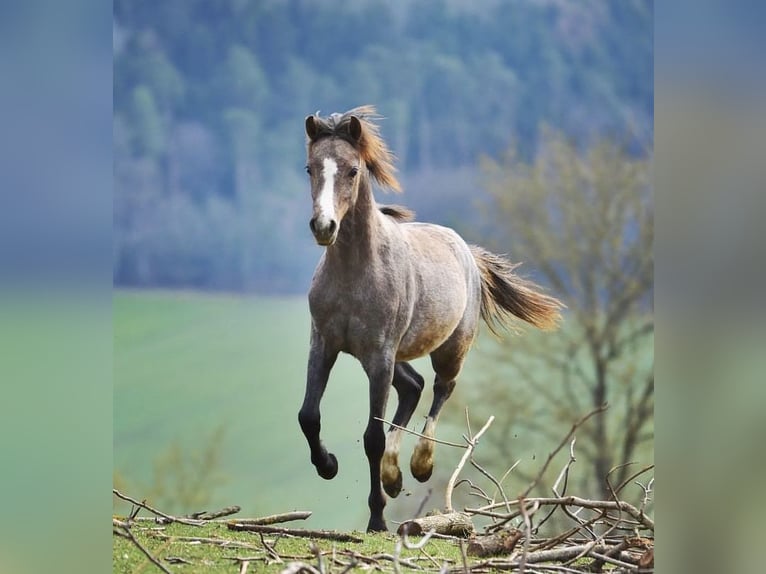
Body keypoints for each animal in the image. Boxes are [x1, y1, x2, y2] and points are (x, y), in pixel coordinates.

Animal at [298, 106, 564, 532]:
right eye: (310, 168)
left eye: (353, 170)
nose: (324, 227)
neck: (356, 272)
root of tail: (467, 249)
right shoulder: (324, 344)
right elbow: (308, 415)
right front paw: (329, 466)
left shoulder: (379, 355)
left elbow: (372, 436)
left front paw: (377, 520)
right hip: (385, 357)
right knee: (414, 386)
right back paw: (393, 476)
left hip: (447, 349)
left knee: (440, 388)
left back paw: (419, 465)